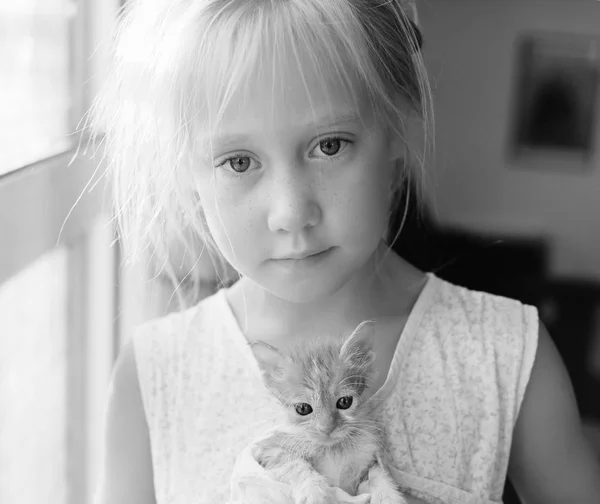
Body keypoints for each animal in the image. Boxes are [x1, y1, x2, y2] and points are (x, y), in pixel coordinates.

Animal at [248, 322, 408, 504]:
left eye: (344, 402)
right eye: (302, 408)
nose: (327, 428)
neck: (333, 450)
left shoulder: (368, 464)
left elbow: (378, 475)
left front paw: (388, 496)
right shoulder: (268, 451)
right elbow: (294, 463)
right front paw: (313, 490)